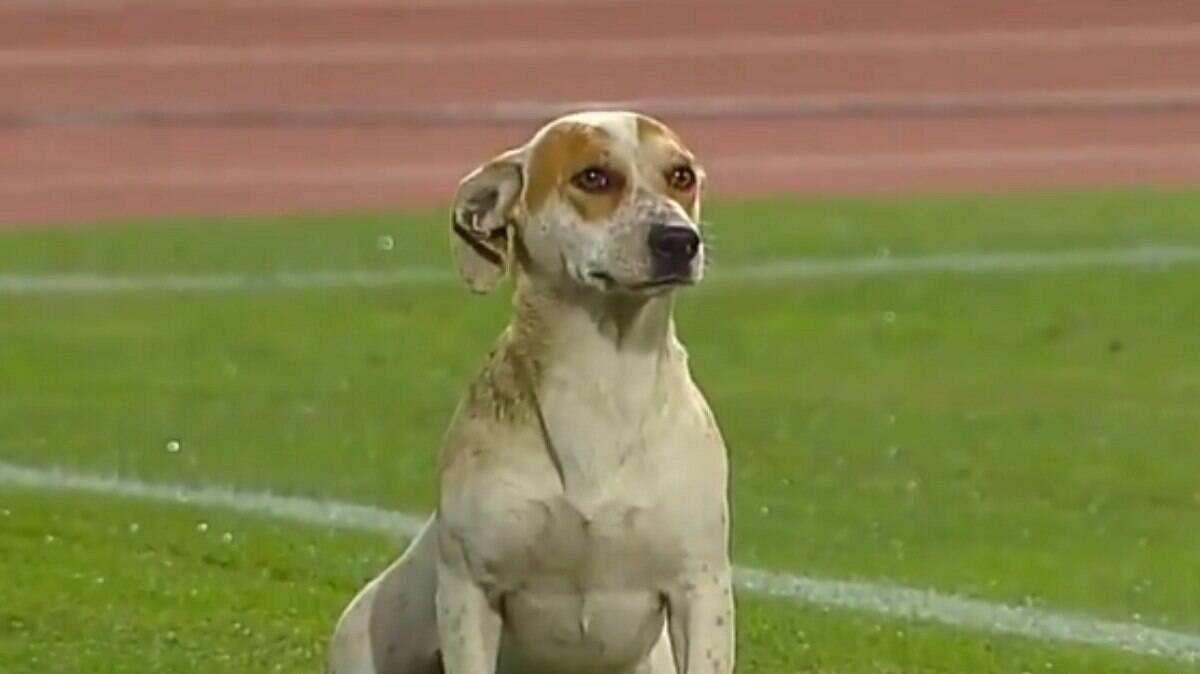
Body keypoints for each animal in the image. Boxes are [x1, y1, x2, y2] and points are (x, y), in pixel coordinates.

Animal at [331, 110, 739, 671]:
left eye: (682, 176)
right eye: (593, 177)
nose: (679, 240)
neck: (602, 382)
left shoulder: (700, 589)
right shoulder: (470, 591)